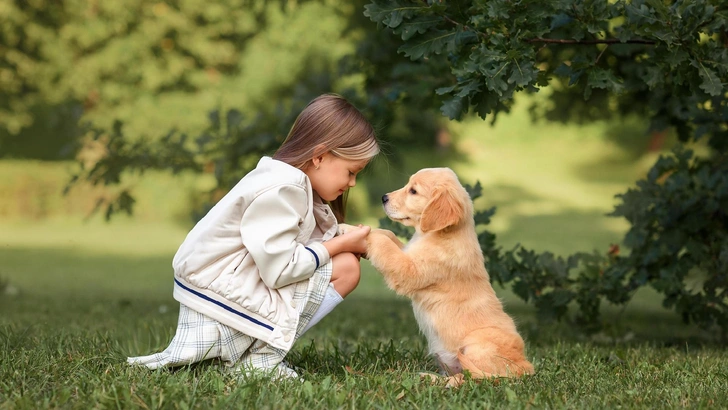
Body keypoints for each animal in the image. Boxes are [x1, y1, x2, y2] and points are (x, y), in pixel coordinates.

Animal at [364, 168, 536, 386]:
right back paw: (431, 377)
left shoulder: (409, 269)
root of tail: (525, 367)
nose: (383, 198)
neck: (441, 234)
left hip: (476, 345)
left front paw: (355, 231)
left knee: (474, 377)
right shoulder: (408, 252)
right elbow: (388, 235)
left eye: (413, 191)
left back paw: (447, 382)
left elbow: (384, 244)